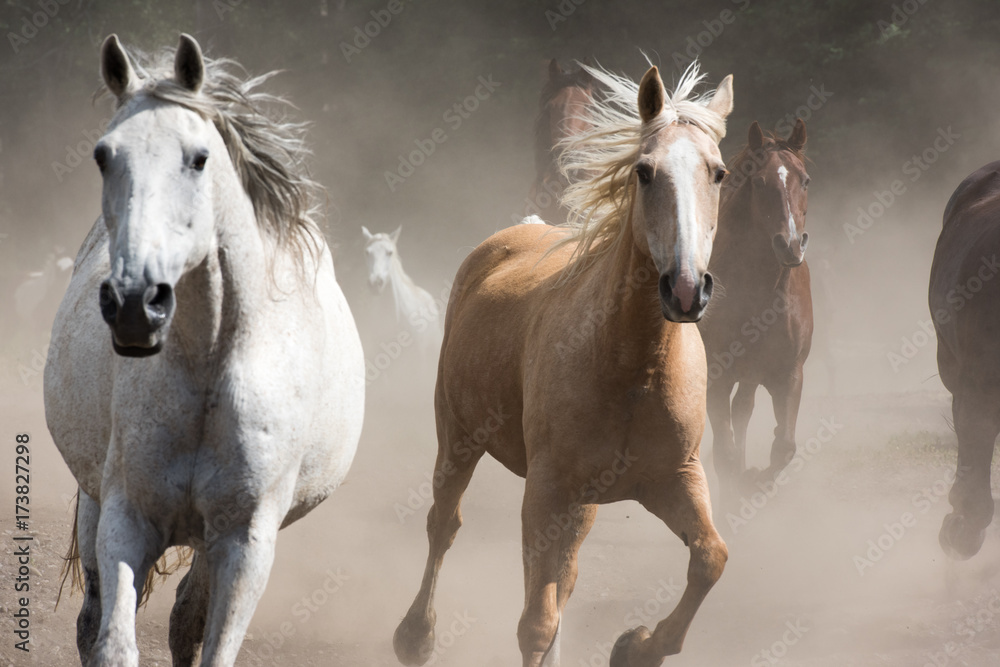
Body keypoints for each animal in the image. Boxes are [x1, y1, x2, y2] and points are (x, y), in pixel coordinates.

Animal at [43, 34, 364, 666]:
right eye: (102, 155)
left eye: (199, 158)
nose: (136, 303)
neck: (211, 365)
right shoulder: (126, 518)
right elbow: (113, 644)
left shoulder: (245, 544)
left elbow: (209, 643)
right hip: (93, 500)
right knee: (93, 620)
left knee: (186, 618)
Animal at [697, 120, 812, 510]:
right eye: (759, 182)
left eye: (805, 180)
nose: (789, 246)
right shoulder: (716, 378)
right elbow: (725, 454)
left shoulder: (788, 375)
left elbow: (784, 447)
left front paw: (754, 483)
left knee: (743, 410)